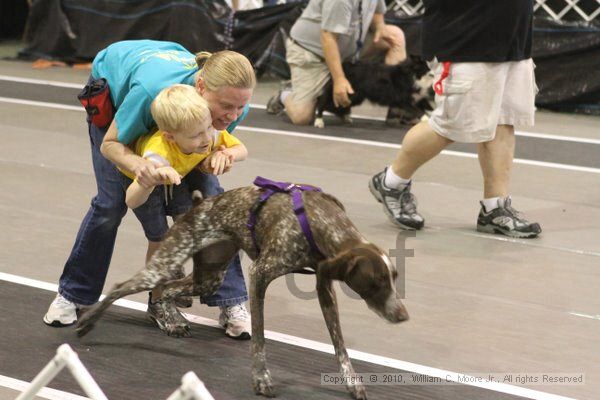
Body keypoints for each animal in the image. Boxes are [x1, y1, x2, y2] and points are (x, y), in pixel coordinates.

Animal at [76, 184, 408, 400]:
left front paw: (352, 382)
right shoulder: (259, 275)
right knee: (122, 287)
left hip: (208, 277)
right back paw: (88, 321)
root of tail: (200, 204)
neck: (319, 221)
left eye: (394, 277)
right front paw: (261, 378)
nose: (403, 315)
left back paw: (171, 320)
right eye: (376, 282)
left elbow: (339, 345)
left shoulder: (324, 287)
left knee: (167, 290)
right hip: (167, 264)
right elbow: (259, 339)